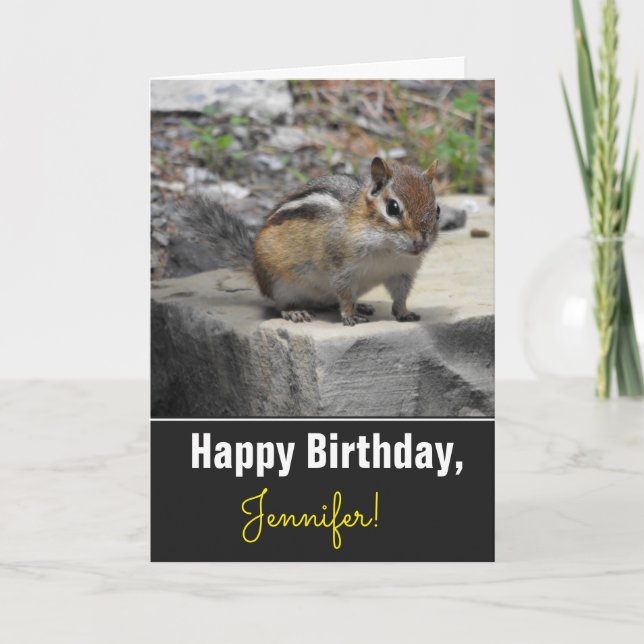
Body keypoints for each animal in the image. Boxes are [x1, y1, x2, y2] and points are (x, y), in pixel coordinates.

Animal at [185, 156, 440, 326]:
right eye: (393, 208)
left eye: (437, 210)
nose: (421, 242)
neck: (387, 248)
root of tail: (255, 269)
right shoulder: (341, 266)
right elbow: (344, 294)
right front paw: (350, 315)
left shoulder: (402, 272)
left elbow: (400, 296)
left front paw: (404, 312)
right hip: (279, 284)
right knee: (280, 305)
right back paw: (295, 312)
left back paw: (361, 305)